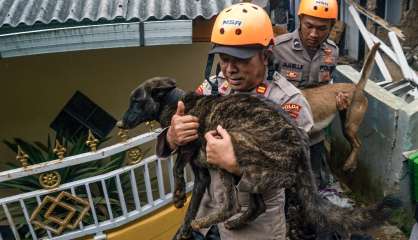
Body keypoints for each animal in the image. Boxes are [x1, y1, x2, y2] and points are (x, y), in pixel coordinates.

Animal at [116, 76, 398, 238]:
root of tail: (302, 154)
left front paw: (176, 197)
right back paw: (235, 223)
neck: (177, 105)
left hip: (228, 141)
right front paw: (183, 228)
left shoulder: (191, 146)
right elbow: (191, 206)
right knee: (256, 205)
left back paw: (213, 220)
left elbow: (176, 166)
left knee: (233, 204)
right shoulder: (201, 178)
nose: (119, 123)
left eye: (136, 102)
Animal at [302, 42, 380, 171]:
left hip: (350, 125)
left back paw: (348, 163)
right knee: (355, 144)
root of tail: (356, 87)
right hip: (346, 126)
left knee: (358, 144)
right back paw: (352, 165)